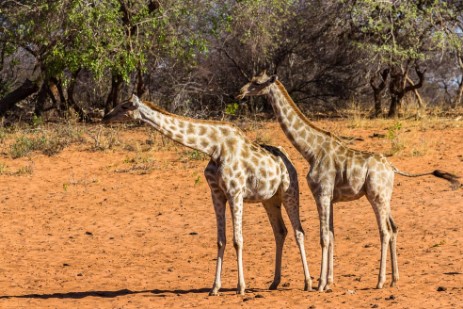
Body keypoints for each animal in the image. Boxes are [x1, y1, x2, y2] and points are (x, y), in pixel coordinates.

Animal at [101, 93, 312, 294]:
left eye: (125, 106)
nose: (105, 117)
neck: (214, 147)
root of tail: (288, 159)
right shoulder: (216, 194)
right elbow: (220, 240)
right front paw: (215, 288)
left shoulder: (235, 193)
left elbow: (238, 240)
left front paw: (241, 287)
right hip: (270, 199)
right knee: (280, 231)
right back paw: (275, 282)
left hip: (290, 190)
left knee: (298, 231)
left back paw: (308, 282)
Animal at [237, 72, 462, 292]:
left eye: (257, 82)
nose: (239, 93)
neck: (311, 150)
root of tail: (392, 168)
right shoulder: (330, 197)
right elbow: (332, 235)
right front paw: (329, 282)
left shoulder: (322, 193)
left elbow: (324, 236)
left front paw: (320, 284)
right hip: (385, 197)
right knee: (394, 228)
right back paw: (394, 280)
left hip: (376, 196)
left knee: (385, 231)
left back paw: (380, 281)